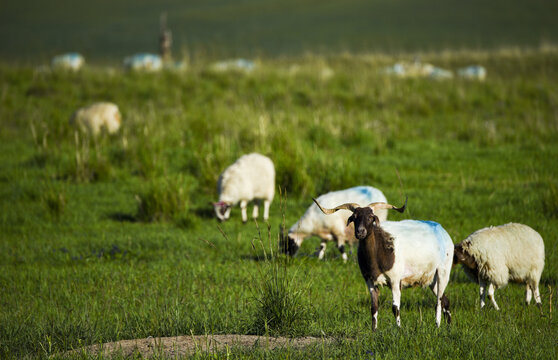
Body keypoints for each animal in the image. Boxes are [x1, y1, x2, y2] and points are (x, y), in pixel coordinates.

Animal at [316, 198, 456, 330]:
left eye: (370, 217)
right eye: (354, 217)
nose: (360, 232)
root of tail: (442, 230)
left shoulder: (395, 280)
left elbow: (395, 308)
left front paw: (398, 329)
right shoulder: (370, 281)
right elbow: (374, 307)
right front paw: (374, 330)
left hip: (443, 271)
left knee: (438, 301)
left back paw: (437, 325)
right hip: (431, 278)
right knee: (445, 300)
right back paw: (448, 327)